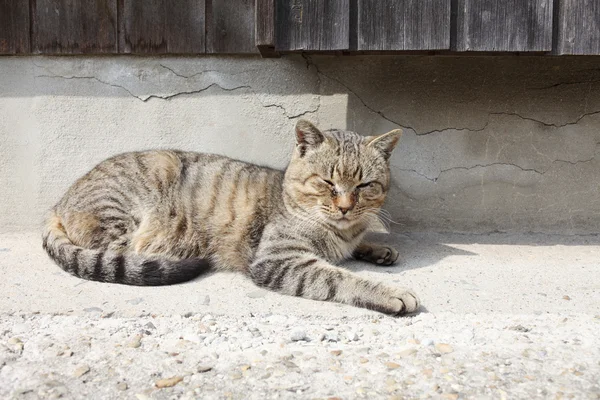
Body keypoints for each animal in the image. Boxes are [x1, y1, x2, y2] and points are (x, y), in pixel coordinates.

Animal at [42, 119, 420, 316]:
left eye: (365, 185)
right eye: (327, 183)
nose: (344, 206)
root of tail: (57, 203)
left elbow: (354, 247)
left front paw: (377, 248)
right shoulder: (280, 260)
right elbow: (339, 277)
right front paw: (390, 291)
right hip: (129, 215)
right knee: (122, 254)